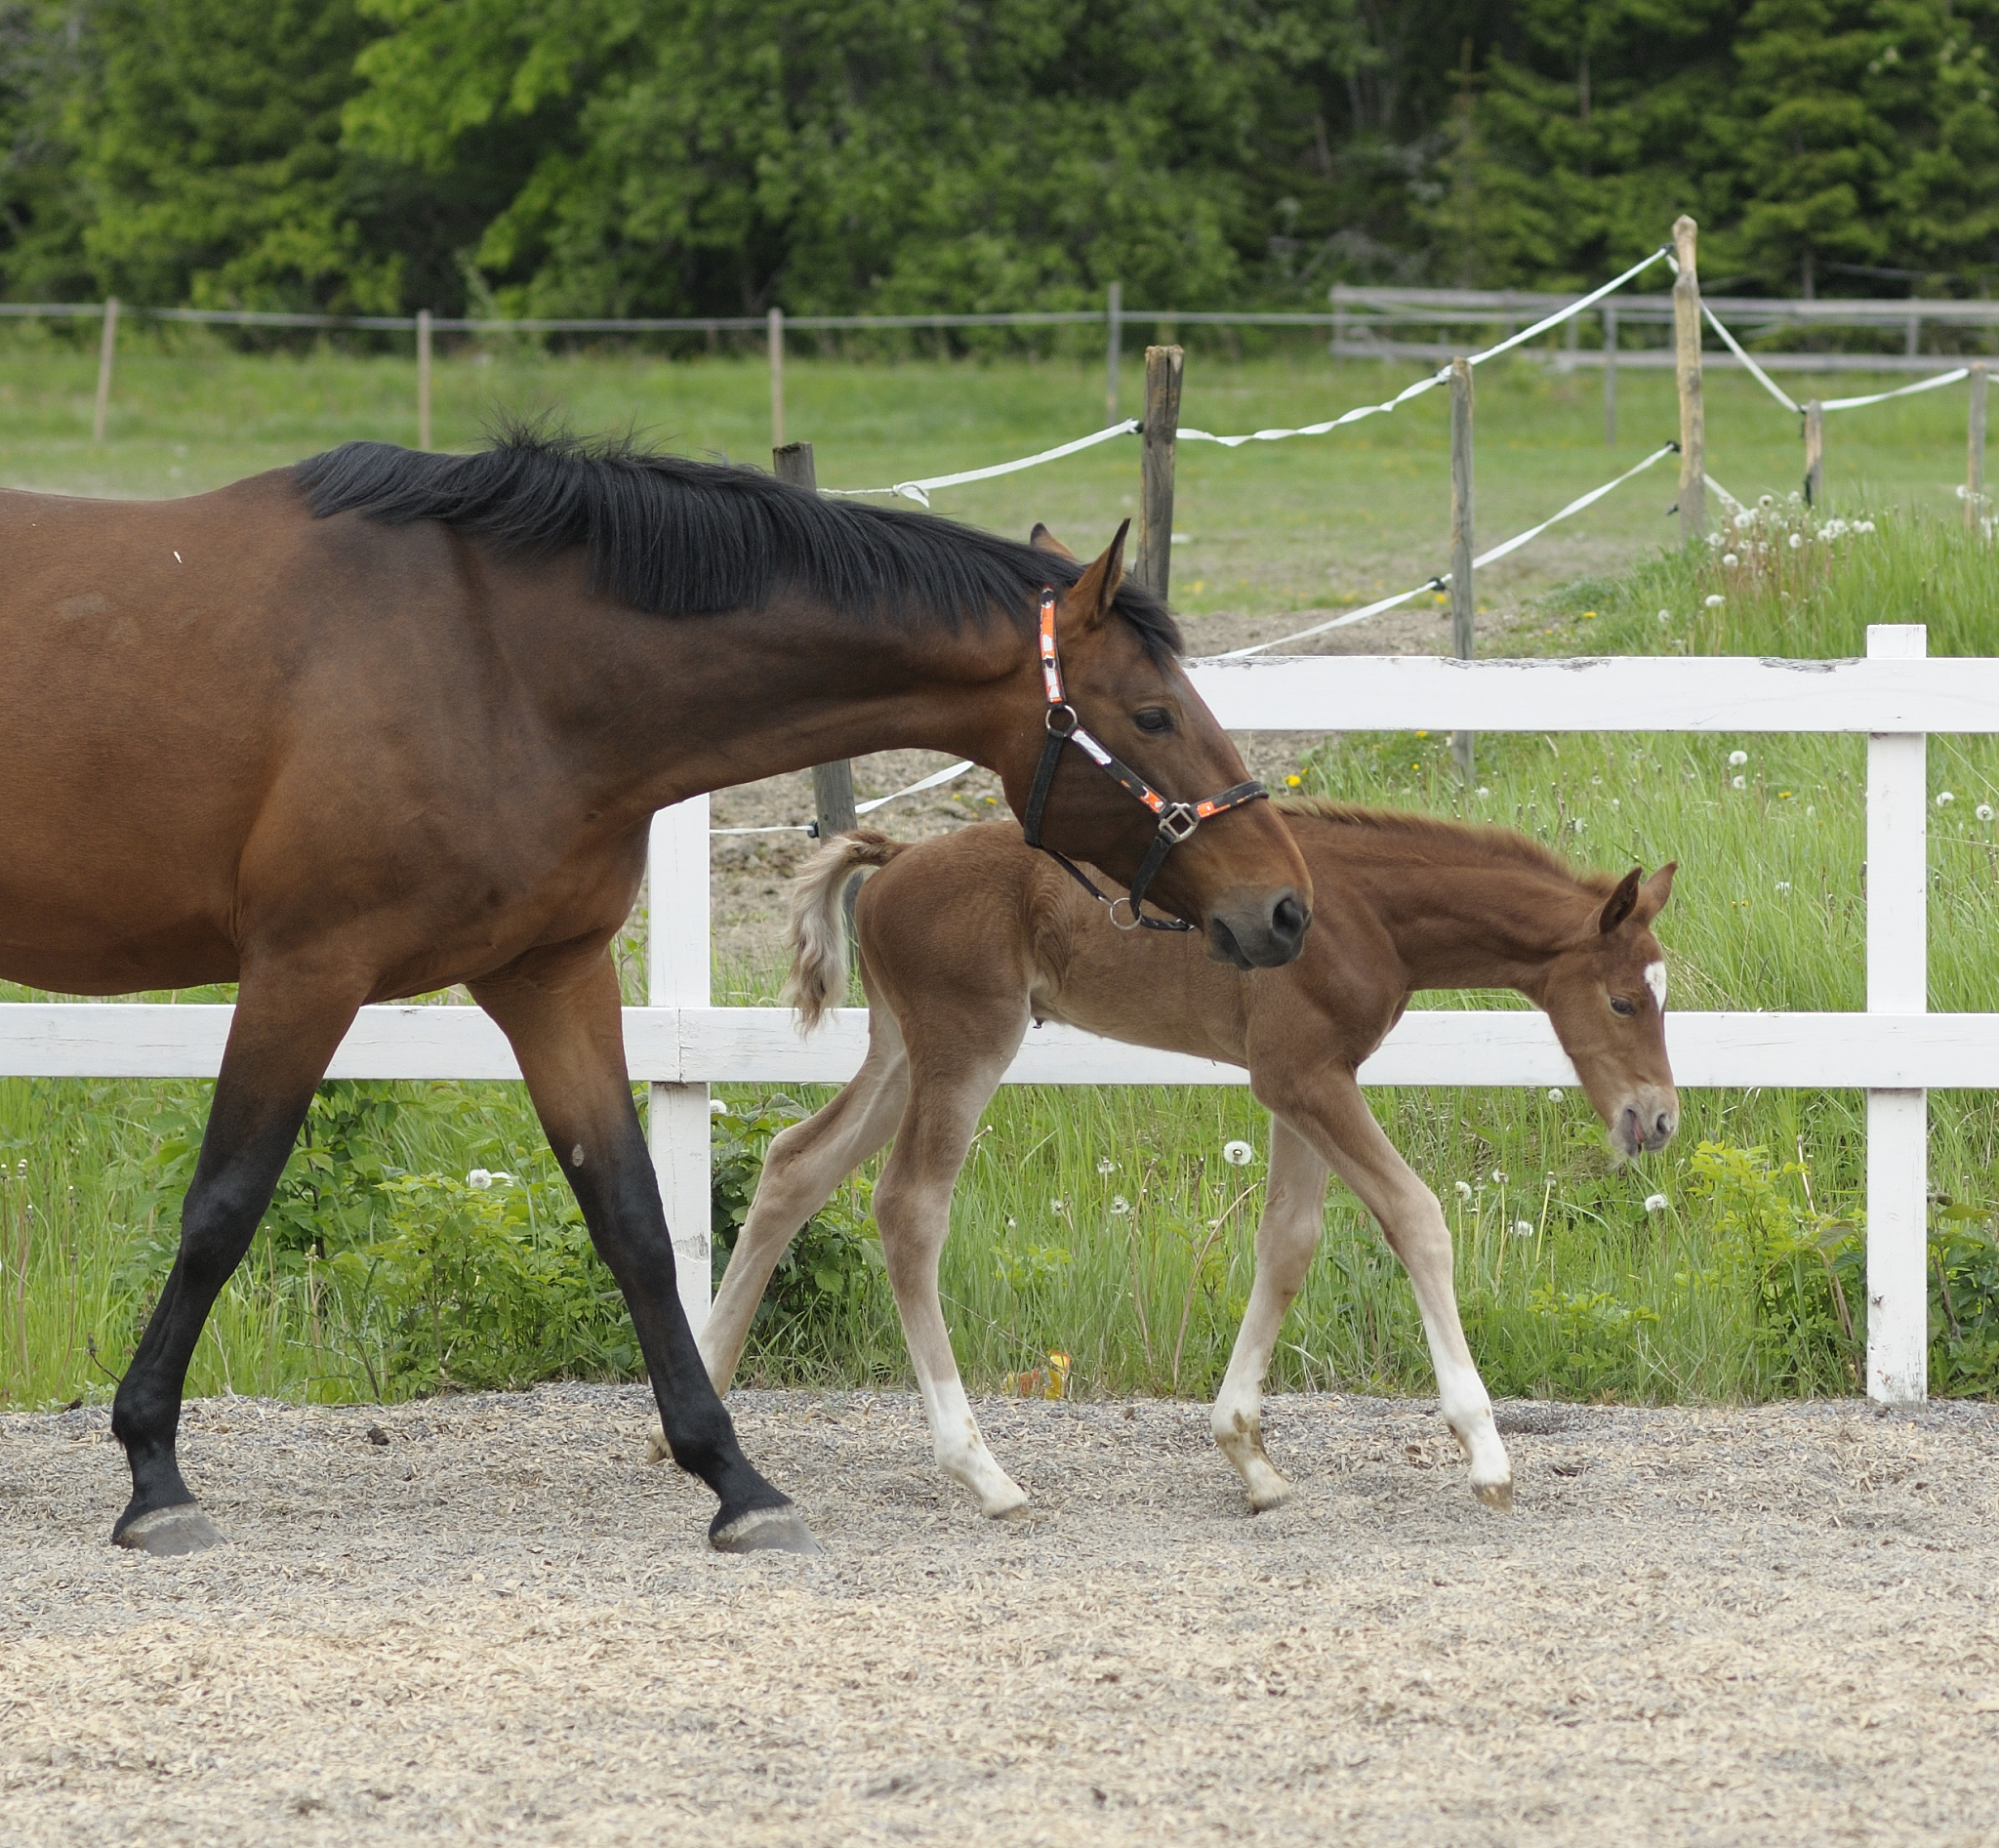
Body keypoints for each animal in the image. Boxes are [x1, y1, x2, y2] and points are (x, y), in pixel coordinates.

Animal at [0, 430, 1313, 1557]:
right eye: (1151, 711)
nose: (1285, 907)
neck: (492, 659)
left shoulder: (550, 974)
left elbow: (632, 1219)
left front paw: (732, 1476)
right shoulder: (303, 970)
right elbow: (222, 1209)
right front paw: (152, 1474)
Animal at [697, 806, 1677, 1517]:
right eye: (1624, 1000)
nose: (1659, 1118)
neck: (1367, 912)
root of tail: (895, 857)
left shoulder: (1302, 1081)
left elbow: (1288, 1241)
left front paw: (1250, 1456)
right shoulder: (1306, 1076)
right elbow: (1417, 1216)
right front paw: (1485, 1451)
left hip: (902, 1047)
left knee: (793, 1162)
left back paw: (694, 1416)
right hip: (965, 1043)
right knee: (908, 1208)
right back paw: (984, 1473)